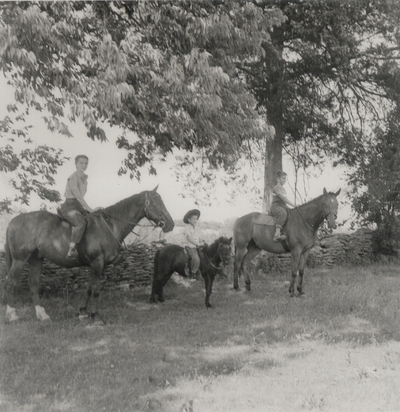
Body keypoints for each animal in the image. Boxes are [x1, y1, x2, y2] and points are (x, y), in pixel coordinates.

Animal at [4, 187, 173, 322]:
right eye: (156, 203)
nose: (171, 224)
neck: (109, 226)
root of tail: (12, 221)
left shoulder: (98, 265)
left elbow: (89, 288)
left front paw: (83, 312)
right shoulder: (97, 262)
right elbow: (96, 289)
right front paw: (96, 315)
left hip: (36, 259)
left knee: (33, 285)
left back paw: (42, 315)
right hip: (20, 259)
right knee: (11, 283)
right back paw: (12, 314)